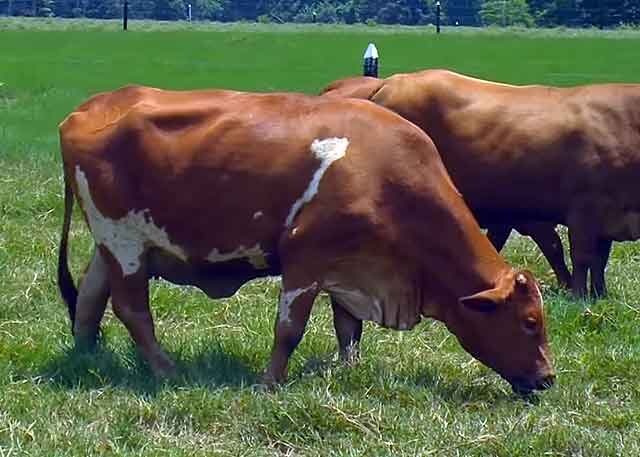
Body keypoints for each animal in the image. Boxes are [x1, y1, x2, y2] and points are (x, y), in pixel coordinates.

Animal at [58, 85, 554, 394]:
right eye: (530, 321)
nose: (548, 378)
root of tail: (90, 107)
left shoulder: (353, 262)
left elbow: (348, 328)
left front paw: (349, 369)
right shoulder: (304, 260)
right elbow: (289, 330)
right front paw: (270, 383)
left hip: (113, 246)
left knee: (90, 296)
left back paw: (85, 356)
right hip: (124, 243)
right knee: (132, 310)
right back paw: (164, 370)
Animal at [322, 69, 640, 298]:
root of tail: (390, 83)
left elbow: (597, 259)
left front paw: (599, 294)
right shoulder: (583, 209)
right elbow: (580, 254)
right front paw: (578, 295)